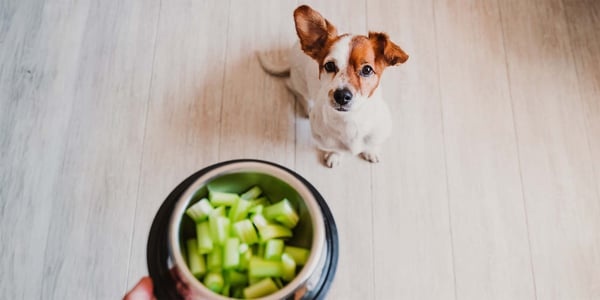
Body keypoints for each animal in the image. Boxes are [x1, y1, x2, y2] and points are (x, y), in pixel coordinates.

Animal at [258, 4, 408, 168]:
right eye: (329, 66)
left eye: (367, 69)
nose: (341, 95)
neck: (350, 120)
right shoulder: (325, 140)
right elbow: (335, 149)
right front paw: (335, 155)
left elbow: (372, 144)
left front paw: (371, 151)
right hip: (299, 83)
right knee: (293, 88)